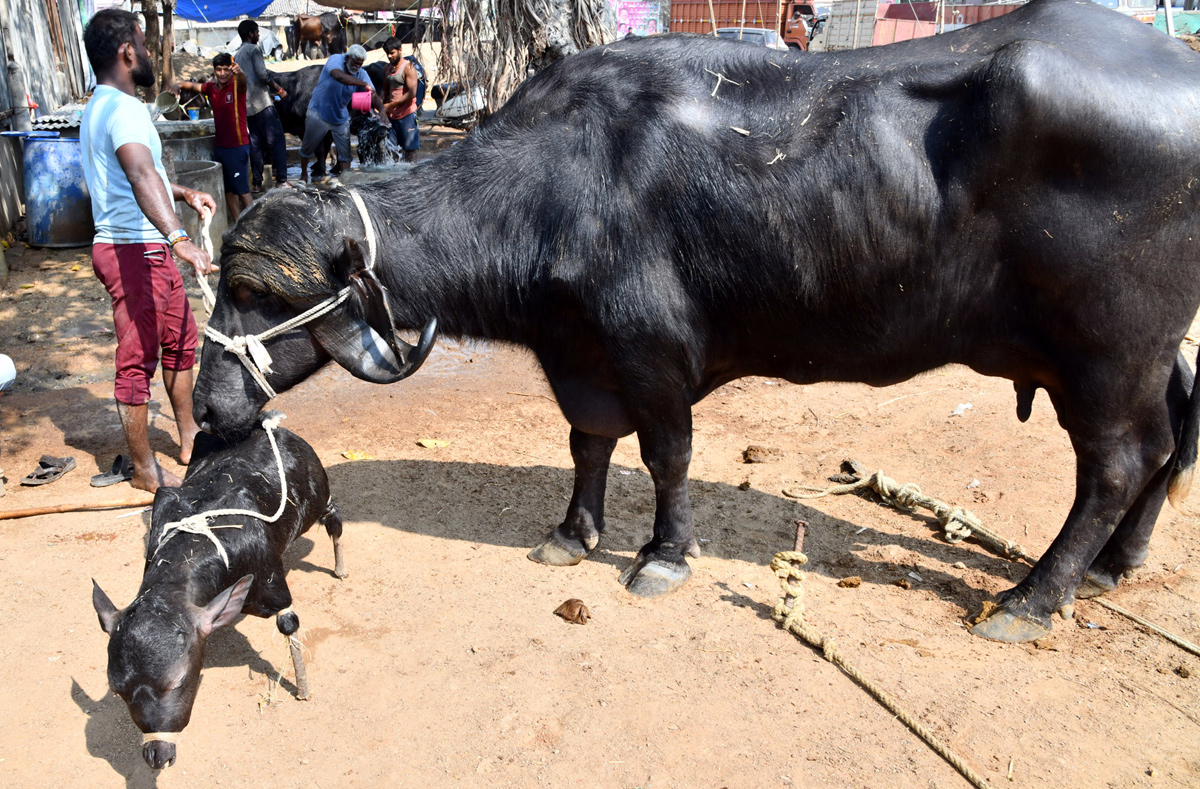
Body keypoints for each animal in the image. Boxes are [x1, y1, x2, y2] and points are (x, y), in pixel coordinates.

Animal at [192, 0, 1200, 642]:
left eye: (264, 292)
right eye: (224, 280)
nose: (207, 404)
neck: (554, 184)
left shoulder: (653, 355)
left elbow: (665, 455)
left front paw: (662, 554)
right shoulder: (582, 356)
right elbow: (588, 444)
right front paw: (573, 533)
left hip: (1106, 353)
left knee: (1117, 462)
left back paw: (1032, 598)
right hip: (1141, 355)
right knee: (1172, 434)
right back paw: (1117, 562)